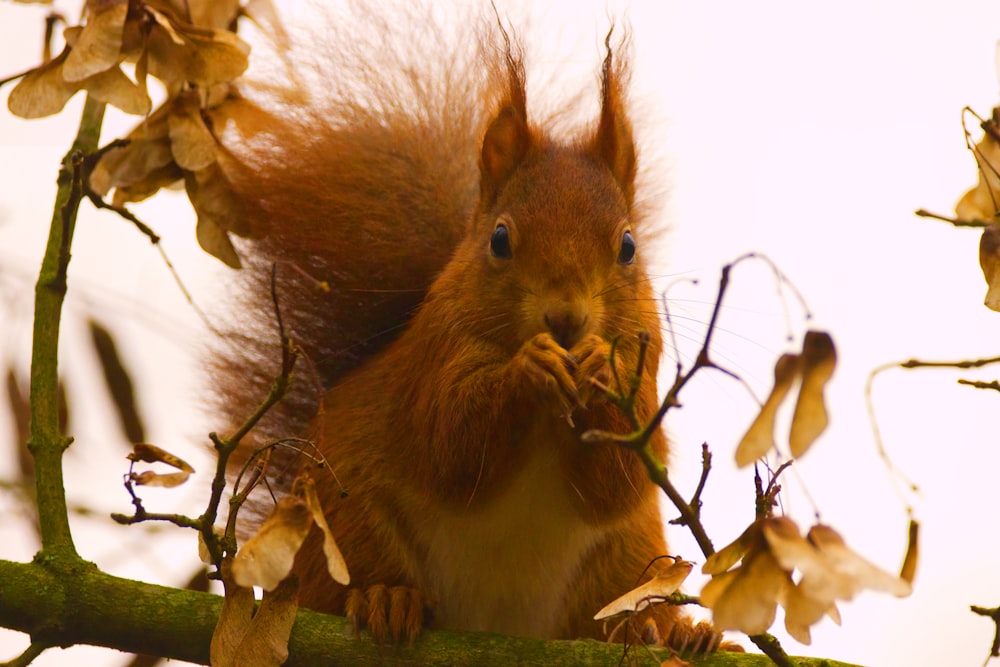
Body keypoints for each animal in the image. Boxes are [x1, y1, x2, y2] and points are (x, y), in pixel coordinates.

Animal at [213, 2, 728, 656]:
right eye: (500, 239)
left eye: (629, 247)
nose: (565, 319)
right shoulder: (437, 352)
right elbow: (451, 444)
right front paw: (529, 368)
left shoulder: (647, 363)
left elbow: (623, 475)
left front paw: (596, 367)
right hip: (347, 525)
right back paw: (388, 599)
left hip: (625, 559)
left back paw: (673, 633)